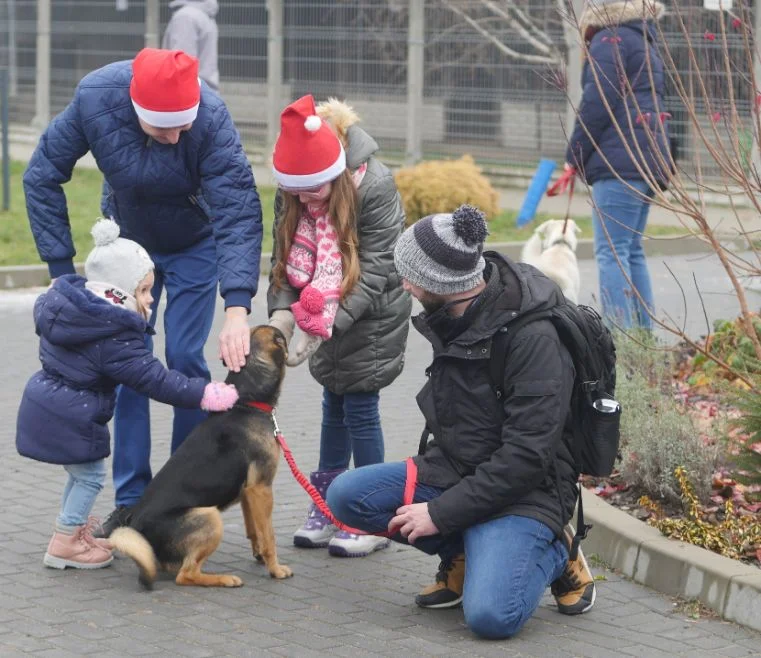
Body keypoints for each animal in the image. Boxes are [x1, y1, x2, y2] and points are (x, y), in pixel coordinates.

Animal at [108, 326, 292, 588]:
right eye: (280, 336)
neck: (245, 402)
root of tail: (142, 535)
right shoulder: (262, 489)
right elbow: (269, 536)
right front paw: (275, 569)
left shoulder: (249, 492)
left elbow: (254, 530)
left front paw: (259, 555)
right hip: (209, 516)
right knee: (186, 575)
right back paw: (225, 578)